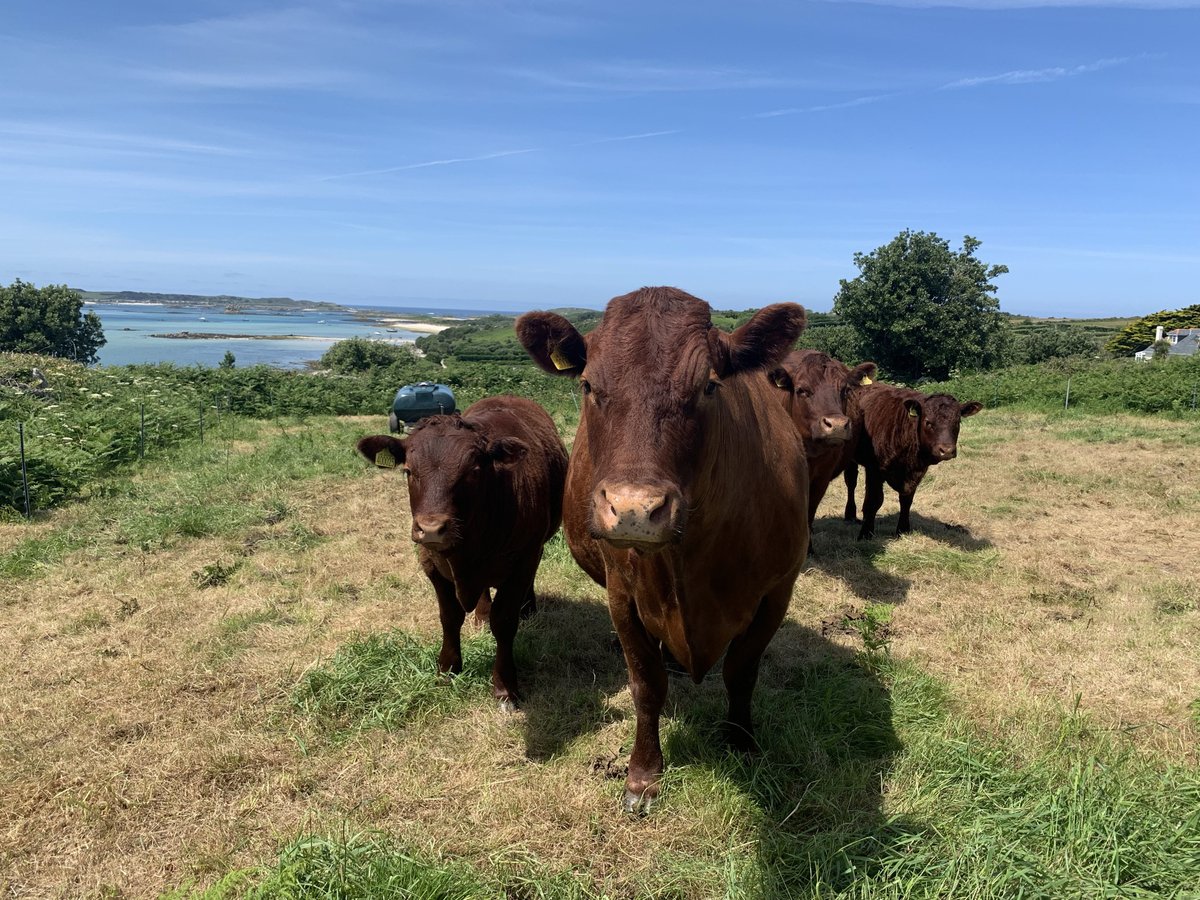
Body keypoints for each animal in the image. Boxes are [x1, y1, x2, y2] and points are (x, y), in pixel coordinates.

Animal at [356, 395, 568, 711]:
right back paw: (481, 615)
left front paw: (505, 687)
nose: (431, 529)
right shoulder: (431, 563)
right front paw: (447, 669)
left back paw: (528, 607)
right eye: (408, 471)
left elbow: (504, 621)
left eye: (473, 472)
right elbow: (450, 616)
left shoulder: (523, 558)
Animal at [517, 286, 809, 814]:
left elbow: (741, 671)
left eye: (710, 386)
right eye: (588, 385)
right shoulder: (621, 594)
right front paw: (642, 774)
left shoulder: (778, 591)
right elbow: (647, 684)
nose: (633, 508)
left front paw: (741, 741)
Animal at [767, 350, 877, 549]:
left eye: (845, 390)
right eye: (802, 390)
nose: (837, 425)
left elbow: (809, 512)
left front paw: (808, 547)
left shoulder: (822, 477)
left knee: (851, 481)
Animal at [843, 385, 983, 539]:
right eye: (928, 422)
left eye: (958, 422)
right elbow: (874, 501)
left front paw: (903, 529)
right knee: (851, 482)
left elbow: (906, 500)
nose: (946, 450)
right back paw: (850, 514)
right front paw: (866, 533)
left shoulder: (916, 473)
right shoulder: (874, 469)